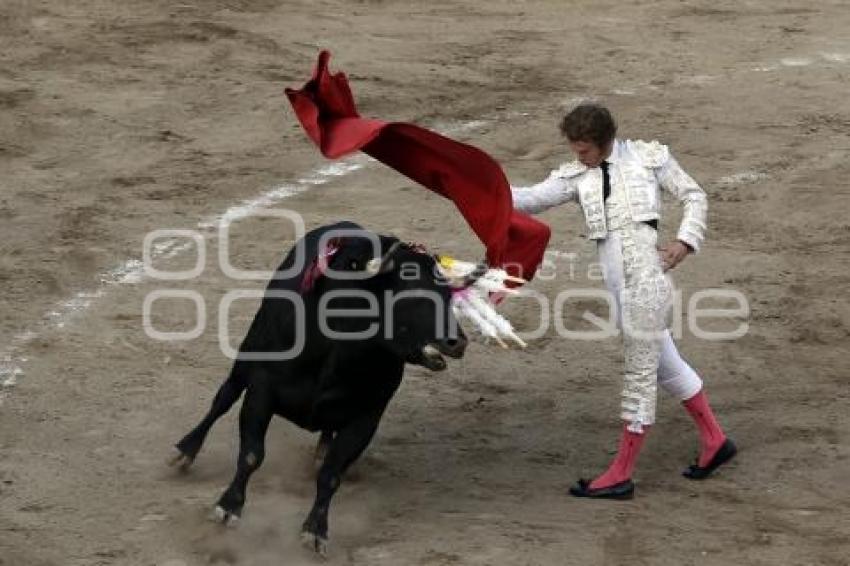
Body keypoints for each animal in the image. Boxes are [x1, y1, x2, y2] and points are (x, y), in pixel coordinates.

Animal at [170, 222, 468, 556]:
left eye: (448, 295)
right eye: (412, 292)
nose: (457, 342)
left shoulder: (366, 418)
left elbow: (331, 475)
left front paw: (315, 530)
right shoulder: (261, 389)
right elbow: (251, 454)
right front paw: (227, 507)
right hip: (247, 356)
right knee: (224, 397)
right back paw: (185, 451)